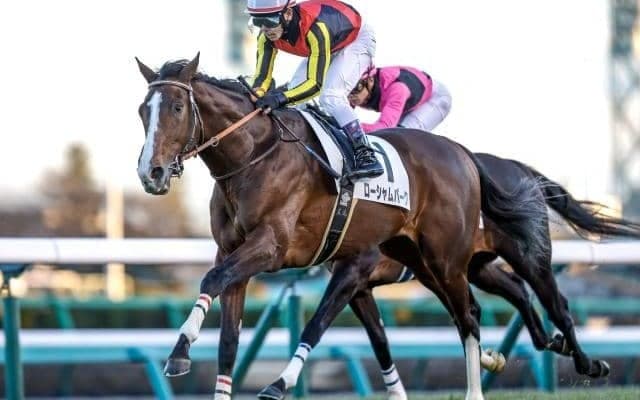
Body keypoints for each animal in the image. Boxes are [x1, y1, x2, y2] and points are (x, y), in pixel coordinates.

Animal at [135, 53, 547, 400]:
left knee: (471, 315)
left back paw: (481, 387)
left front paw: (183, 353)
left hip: (447, 259)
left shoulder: (277, 248)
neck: (254, 156)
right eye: (142, 111)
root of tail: (461, 153)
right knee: (479, 303)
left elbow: (293, 316)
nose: (150, 173)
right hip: (425, 260)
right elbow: (228, 338)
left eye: (176, 107)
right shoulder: (234, 252)